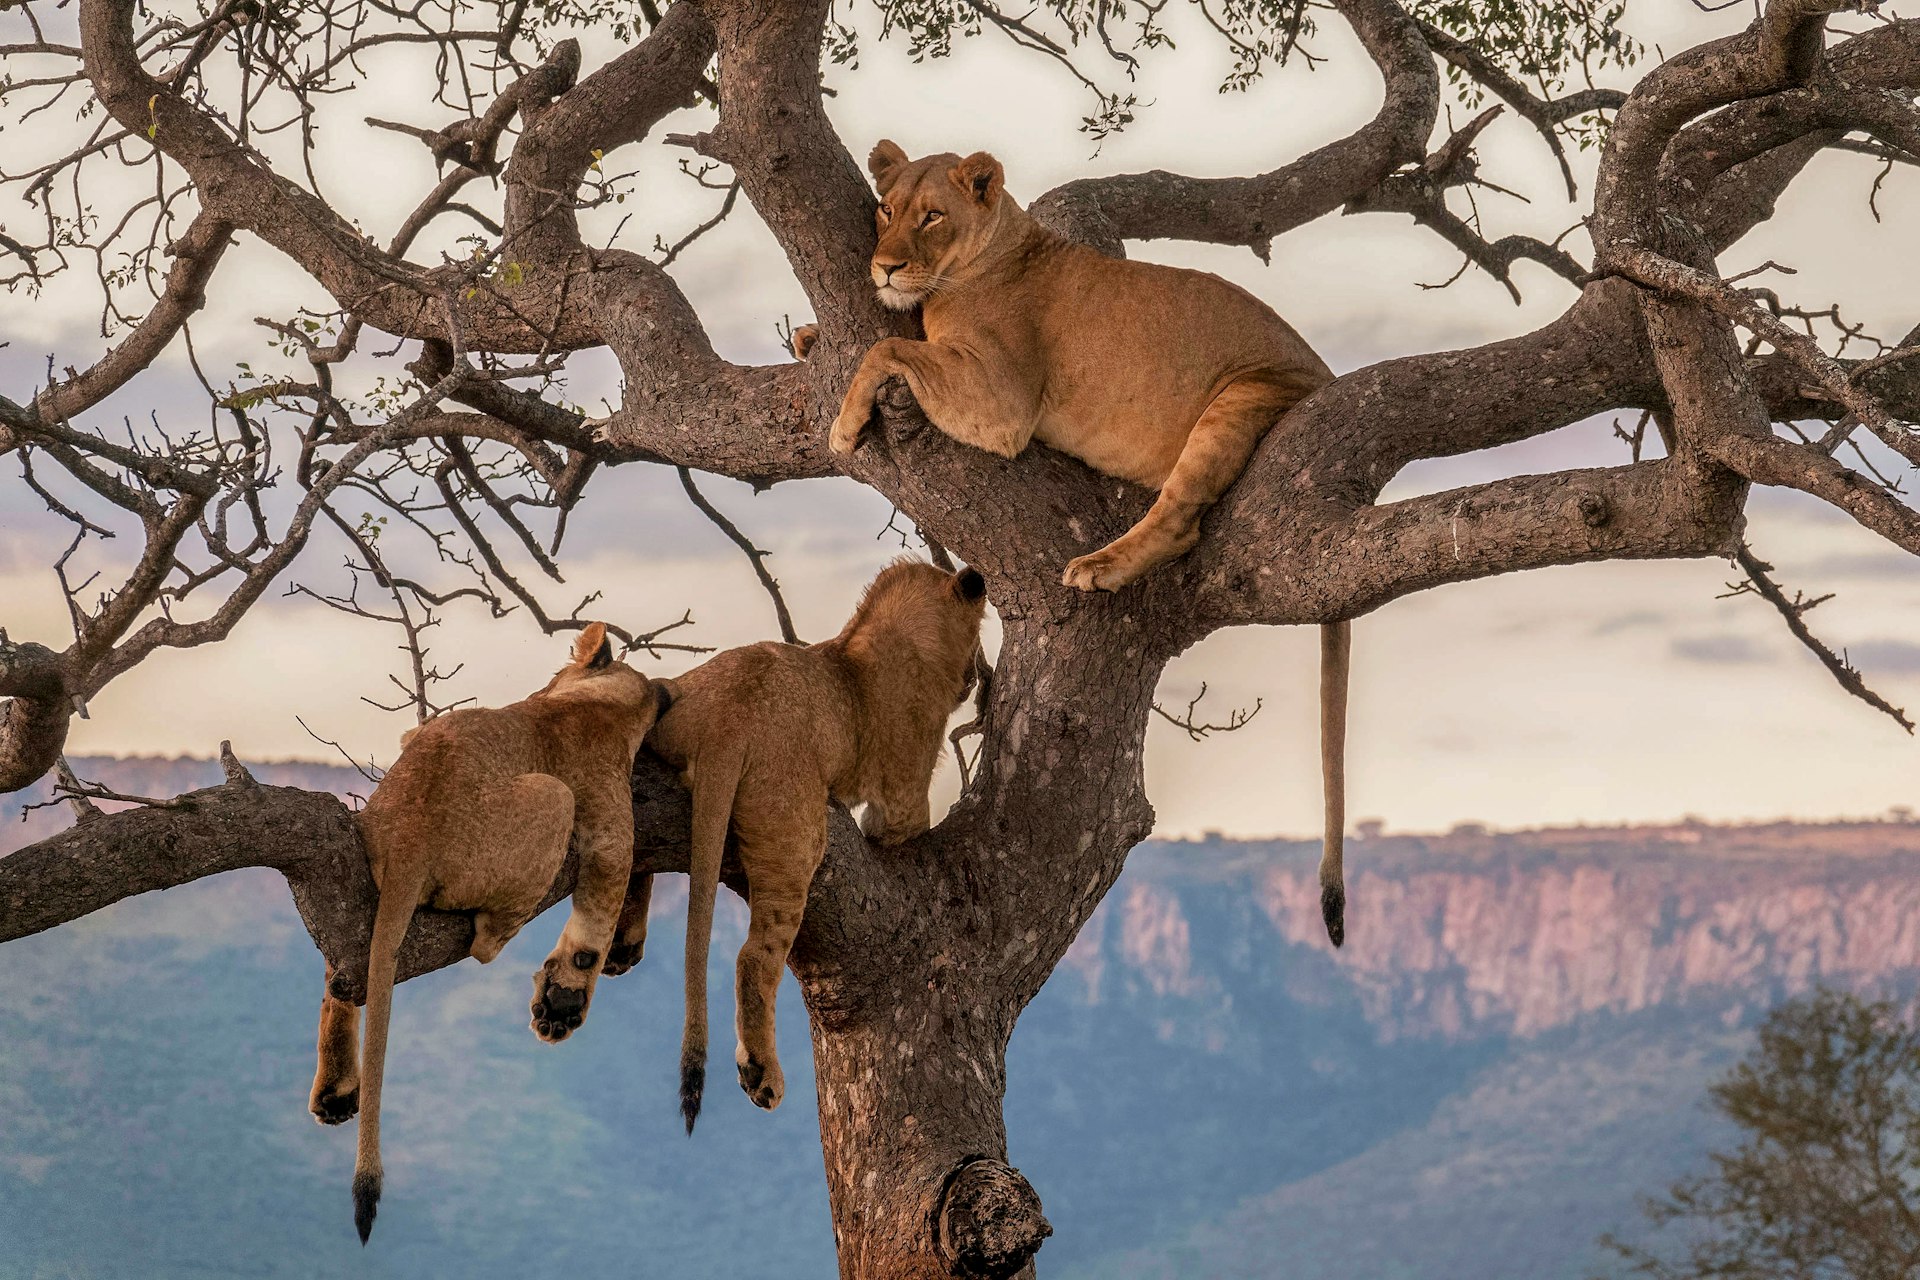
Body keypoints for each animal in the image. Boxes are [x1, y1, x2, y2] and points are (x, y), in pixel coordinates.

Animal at [305, 622, 670, 1242]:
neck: (589, 701)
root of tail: (409, 841)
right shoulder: (606, 810)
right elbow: (605, 897)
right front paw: (565, 998)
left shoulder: (415, 732)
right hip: (552, 798)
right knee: (480, 945)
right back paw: (498, 939)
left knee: (344, 967)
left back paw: (334, 1090)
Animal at [639, 559, 987, 1132]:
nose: (976, 680)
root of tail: (726, 722)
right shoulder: (903, 794)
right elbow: (903, 824)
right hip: (796, 834)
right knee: (754, 957)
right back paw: (762, 1076)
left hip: (666, 704)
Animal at [819, 141, 1354, 946]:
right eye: (886, 209)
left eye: (932, 216)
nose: (883, 267)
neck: (994, 248)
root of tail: (1322, 374)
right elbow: (882, 337)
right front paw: (805, 338)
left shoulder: (1003, 402)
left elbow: (886, 344)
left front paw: (845, 423)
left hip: (1240, 398)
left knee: (1183, 516)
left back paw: (1100, 567)